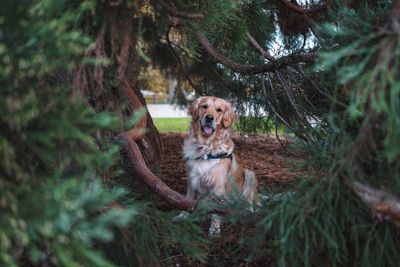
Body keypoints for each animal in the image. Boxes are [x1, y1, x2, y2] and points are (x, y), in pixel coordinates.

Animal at [177, 96, 258, 239]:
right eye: (204, 106)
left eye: (219, 110)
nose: (209, 118)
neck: (205, 147)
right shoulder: (192, 179)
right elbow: (188, 199)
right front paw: (183, 215)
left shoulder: (218, 187)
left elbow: (216, 210)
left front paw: (214, 230)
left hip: (250, 175)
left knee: (249, 203)